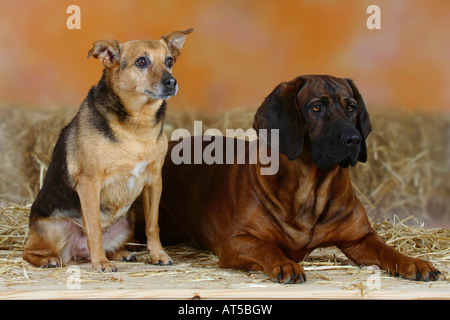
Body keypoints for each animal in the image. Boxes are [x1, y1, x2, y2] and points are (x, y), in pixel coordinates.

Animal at [22, 28, 193, 272]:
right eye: (142, 61)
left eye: (169, 61)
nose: (172, 82)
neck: (137, 124)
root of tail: (77, 253)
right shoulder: (89, 182)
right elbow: (94, 227)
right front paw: (101, 263)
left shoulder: (154, 181)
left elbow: (153, 225)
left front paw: (158, 255)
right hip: (55, 228)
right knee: (28, 251)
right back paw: (50, 260)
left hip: (128, 220)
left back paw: (120, 253)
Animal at [134, 75, 440, 282]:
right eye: (316, 108)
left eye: (351, 107)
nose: (354, 139)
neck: (311, 190)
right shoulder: (236, 240)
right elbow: (266, 248)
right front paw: (285, 263)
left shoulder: (360, 238)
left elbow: (387, 250)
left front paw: (412, 261)